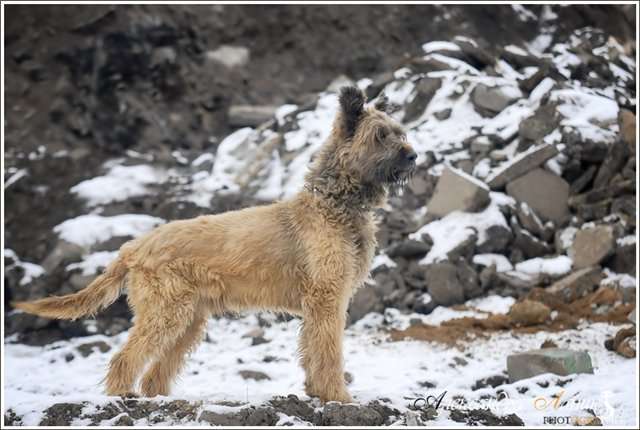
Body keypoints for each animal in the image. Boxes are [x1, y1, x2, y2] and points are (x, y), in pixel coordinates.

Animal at [15, 86, 418, 404]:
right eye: (380, 135)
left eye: (399, 132)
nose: (413, 155)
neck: (334, 203)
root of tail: (134, 247)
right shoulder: (326, 298)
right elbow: (329, 352)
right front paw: (338, 396)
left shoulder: (319, 305)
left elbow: (312, 352)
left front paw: (318, 392)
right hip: (166, 313)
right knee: (126, 357)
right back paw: (121, 394)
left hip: (189, 319)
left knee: (155, 374)